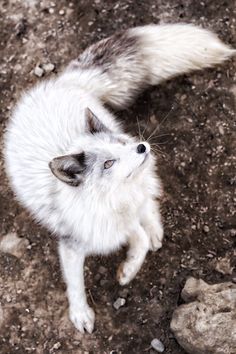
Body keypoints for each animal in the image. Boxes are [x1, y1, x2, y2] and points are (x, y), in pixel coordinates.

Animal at [3, 23, 234, 334]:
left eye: (121, 144)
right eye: (108, 163)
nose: (141, 147)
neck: (113, 202)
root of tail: (64, 82)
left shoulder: (124, 220)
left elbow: (141, 239)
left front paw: (128, 269)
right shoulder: (75, 242)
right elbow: (76, 282)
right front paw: (81, 313)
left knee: (150, 201)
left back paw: (154, 229)